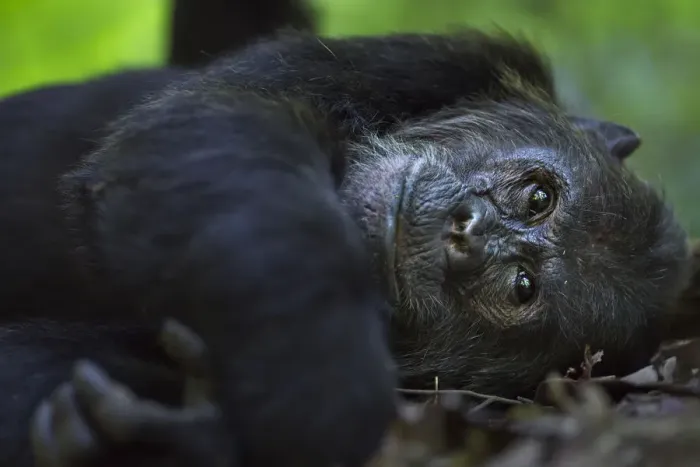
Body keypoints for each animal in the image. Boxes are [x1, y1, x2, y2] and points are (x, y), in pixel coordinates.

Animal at [0, 26, 687, 466]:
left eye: (522, 286)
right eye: (539, 197)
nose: (467, 233)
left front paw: (194, 436)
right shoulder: (433, 59)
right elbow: (215, 124)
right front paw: (327, 398)